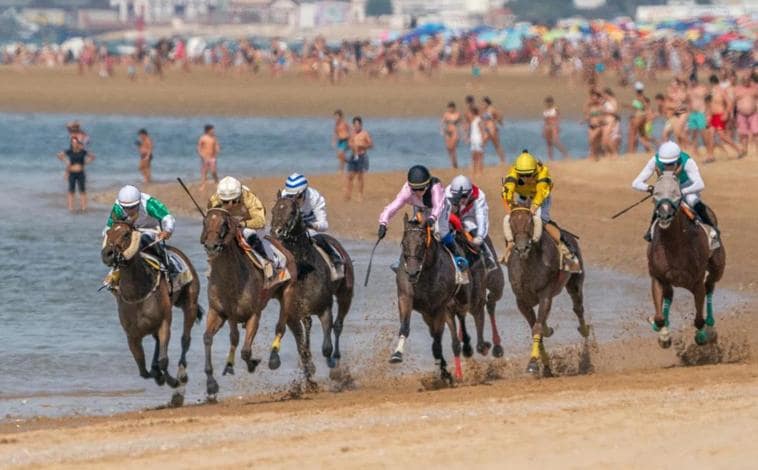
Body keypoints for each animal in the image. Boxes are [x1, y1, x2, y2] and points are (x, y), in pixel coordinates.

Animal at [101, 220, 202, 404]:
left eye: (126, 234)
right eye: (108, 232)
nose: (107, 254)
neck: (137, 293)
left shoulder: (164, 323)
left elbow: (163, 360)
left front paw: (172, 381)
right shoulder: (132, 335)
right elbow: (143, 369)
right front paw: (158, 375)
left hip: (189, 302)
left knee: (185, 339)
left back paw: (181, 377)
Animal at [200, 207, 298, 398]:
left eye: (224, 223)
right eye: (205, 221)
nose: (211, 246)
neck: (230, 280)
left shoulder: (254, 314)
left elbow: (245, 351)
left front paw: (253, 363)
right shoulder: (218, 312)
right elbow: (209, 338)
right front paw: (211, 384)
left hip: (287, 291)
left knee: (280, 326)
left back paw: (274, 358)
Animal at [270, 193, 356, 380]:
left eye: (292, 211)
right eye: (273, 210)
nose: (275, 232)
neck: (304, 270)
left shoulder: (325, 308)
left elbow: (326, 347)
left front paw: (330, 363)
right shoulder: (292, 313)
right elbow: (301, 347)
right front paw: (308, 367)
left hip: (345, 294)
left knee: (338, 325)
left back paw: (336, 360)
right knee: (308, 325)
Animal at [504, 206, 592, 374]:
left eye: (530, 222)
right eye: (511, 223)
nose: (522, 248)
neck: (529, 266)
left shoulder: (545, 293)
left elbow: (537, 327)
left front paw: (532, 363)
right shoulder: (521, 300)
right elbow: (537, 327)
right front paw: (544, 366)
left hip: (575, 282)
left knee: (578, 308)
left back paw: (584, 331)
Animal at [652, 171, 728, 346]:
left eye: (676, 193)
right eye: (655, 194)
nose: (664, 215)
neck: (674, 245)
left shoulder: (696, 281)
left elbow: (699, 319)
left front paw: (701, 336)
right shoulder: (658, 277)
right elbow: (659, 317)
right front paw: (663, 334)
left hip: (717, 269)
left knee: (710, 287)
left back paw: (710, 328)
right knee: (669, 295)